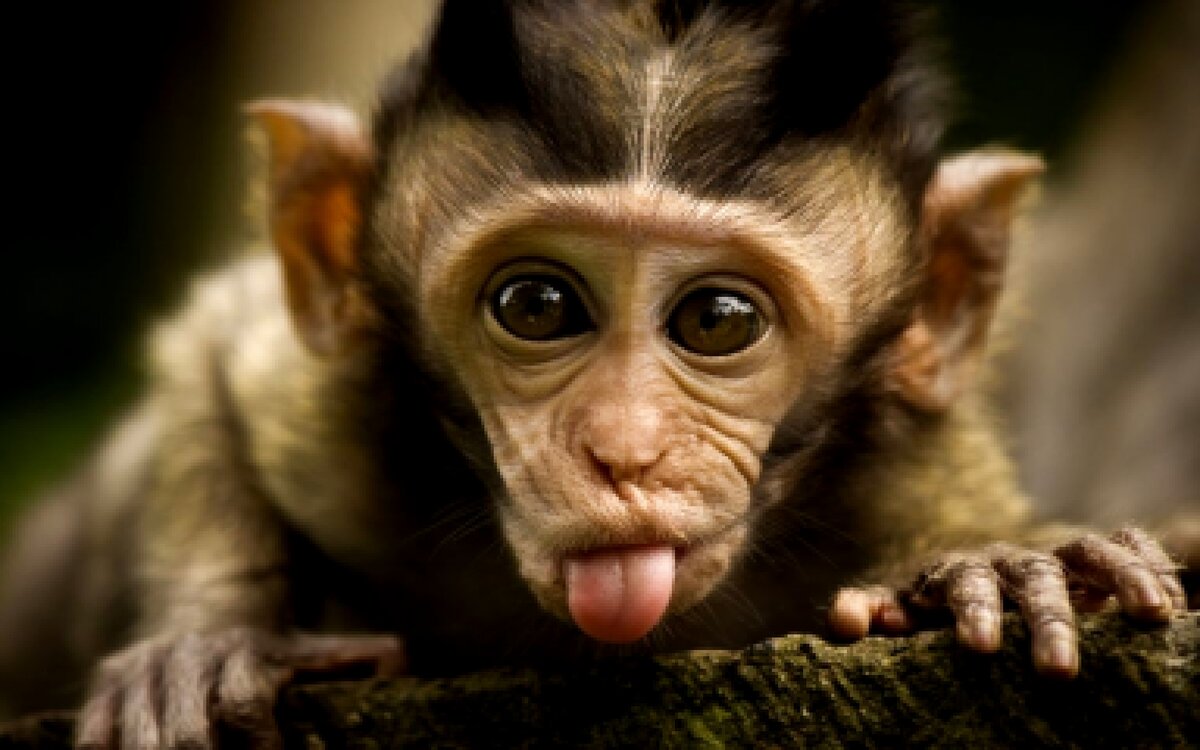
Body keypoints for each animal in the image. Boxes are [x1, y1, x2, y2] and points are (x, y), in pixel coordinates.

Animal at [0, 1, 1188, 747]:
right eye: (537, 306)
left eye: (717, 320)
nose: (622, 451)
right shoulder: (333, 421)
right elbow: (213, 349)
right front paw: (207, 640)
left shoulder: (905, 461)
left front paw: (994, 563)